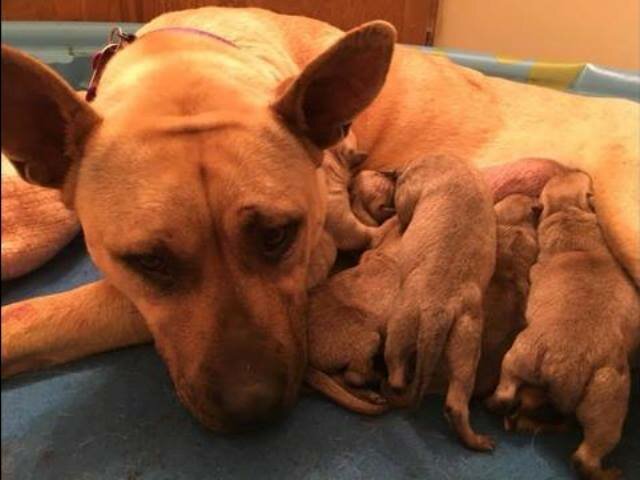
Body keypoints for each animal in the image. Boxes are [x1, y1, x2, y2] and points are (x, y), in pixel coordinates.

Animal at [487, 171, 640, 479]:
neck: (568, 218)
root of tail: (565, 364)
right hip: (609, 395)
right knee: (585, 456)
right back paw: (610, 473)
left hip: (517, 357)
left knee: (507, 392)